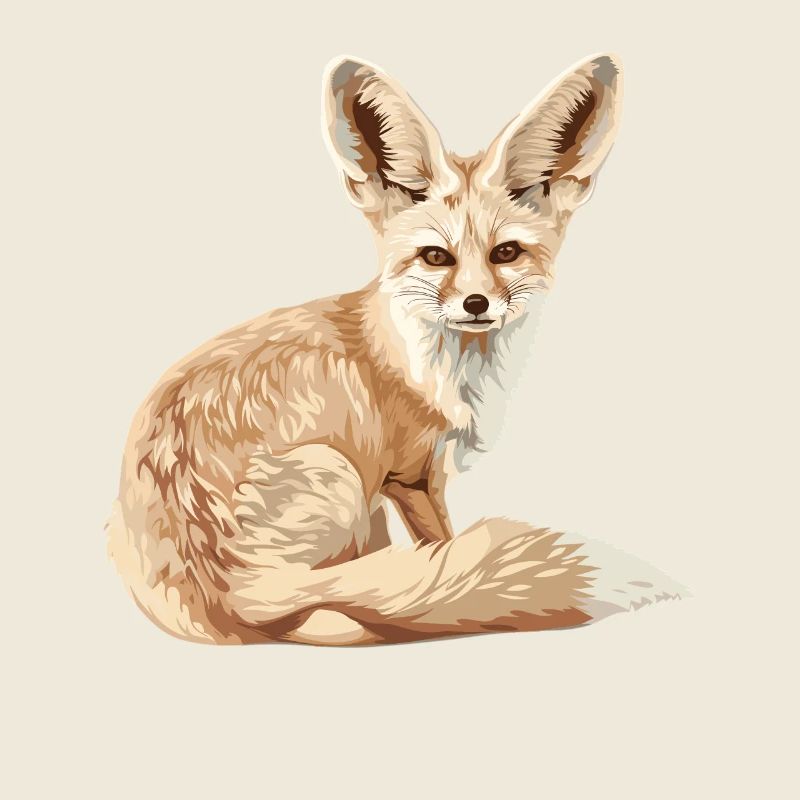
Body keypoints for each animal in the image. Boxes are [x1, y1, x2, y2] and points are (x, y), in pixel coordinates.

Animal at [108, 53, 631, 645]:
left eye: (506, 253)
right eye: (435, 257)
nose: (476, 303)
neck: (428, 365)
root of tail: (216, 596)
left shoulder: (393, 486)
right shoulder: (409, 475)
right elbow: (439, 555)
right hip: (339, 477)